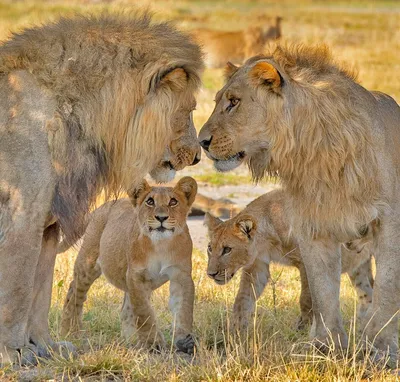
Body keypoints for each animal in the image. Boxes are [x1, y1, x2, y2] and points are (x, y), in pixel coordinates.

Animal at [61, 178, 198, 354]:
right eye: (150, 201)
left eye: (173, 201)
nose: (161, 217)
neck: (161, 244)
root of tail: (102, 206)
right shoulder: (136, 276)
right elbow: (144, 312)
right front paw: (153, 343)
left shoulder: (181, 275)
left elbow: (184, 309)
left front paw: (184, 340)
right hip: (88, 264)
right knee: (74, 293)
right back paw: (71, 331)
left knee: (125, 311)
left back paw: (131, 341)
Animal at [205, 190, 374, 330]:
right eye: (210, 248)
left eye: (227, 249)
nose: (210, 274)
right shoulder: (257, 264)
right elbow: (242, 298)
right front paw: (236, 330)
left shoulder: (308, 262)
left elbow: (306, 299)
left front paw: (304, 328)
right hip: (359, 267)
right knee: (367, 293)